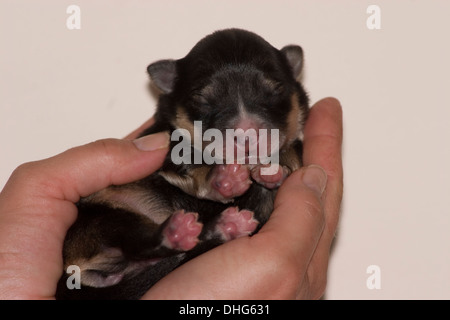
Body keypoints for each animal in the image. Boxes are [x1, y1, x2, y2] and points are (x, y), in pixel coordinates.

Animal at [54, 28, 310, 298]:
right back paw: (176, 232)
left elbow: (292, 151)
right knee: (137, 242)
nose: (246, 133)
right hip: (105, 217)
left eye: (276, 90)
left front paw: (272, 171)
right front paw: (223, 180)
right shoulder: (164, 145)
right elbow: (188, 159)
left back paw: (225, 227)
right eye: (203, 100)